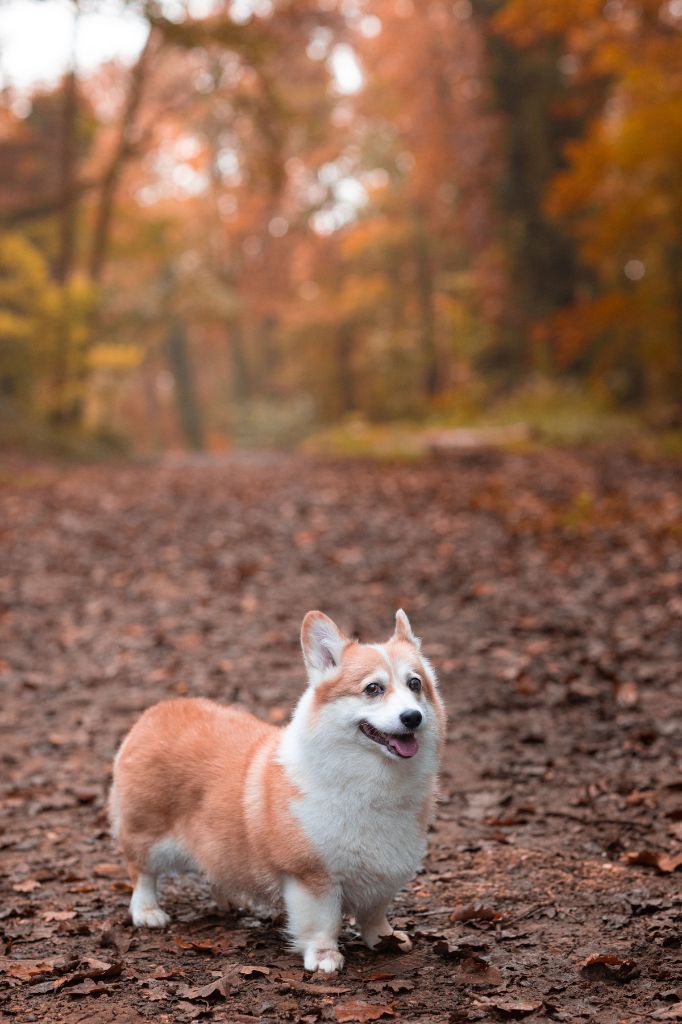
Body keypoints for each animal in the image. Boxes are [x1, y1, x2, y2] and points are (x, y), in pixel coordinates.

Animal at [109, 610, 444, 970]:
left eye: (415, 684)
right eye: (373, 688)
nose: (412, 717)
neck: (369, 781)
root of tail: (154, 712)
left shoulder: (385, 873)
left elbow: (374, 915)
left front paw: (385, 940)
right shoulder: (311, 877)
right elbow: (323, 922)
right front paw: (325, 958)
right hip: (148, 834)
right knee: (142, 873)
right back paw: (148, 912)